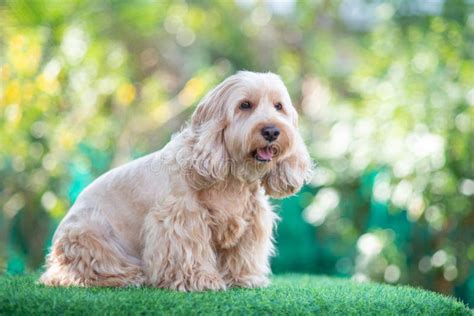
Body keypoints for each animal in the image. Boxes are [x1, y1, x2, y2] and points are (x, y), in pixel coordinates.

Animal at [39, 71, 312, 292]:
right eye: (245, 105)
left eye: (278, 106)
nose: (272, 131)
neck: (232, 177)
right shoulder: (181, 219)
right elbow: (189, 252)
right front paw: (202, 281)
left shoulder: (251, 220)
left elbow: (241, 255)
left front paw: (244, 279)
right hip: (88, 239)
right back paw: (130, 277)